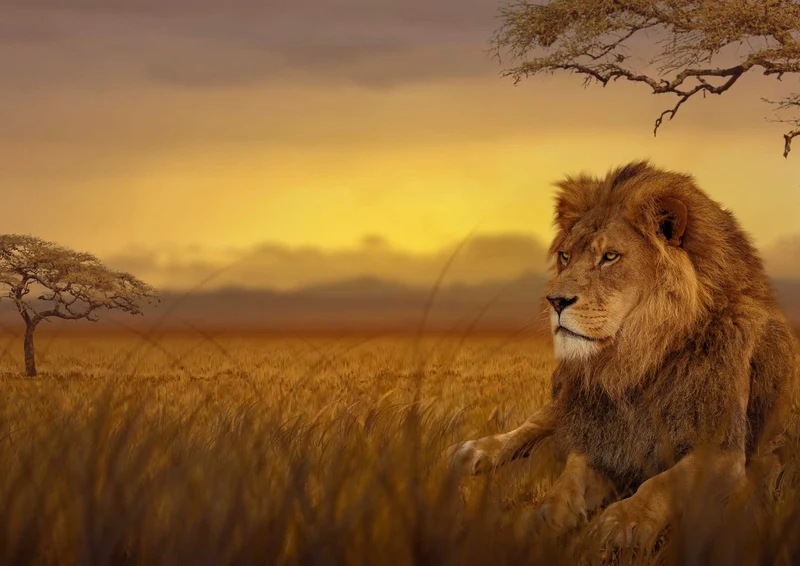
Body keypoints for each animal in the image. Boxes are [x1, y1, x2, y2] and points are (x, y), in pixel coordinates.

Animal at [448, 160, 797, 548]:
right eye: (565, 256)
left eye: (610, 257)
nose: (554, 301)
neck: (636, 361)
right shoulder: (600, 433)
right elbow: (569, 479)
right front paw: (544, 516)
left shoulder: (723, 448)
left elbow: (662, 482)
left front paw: (623, 522)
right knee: (537, 421)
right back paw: (477, 451)